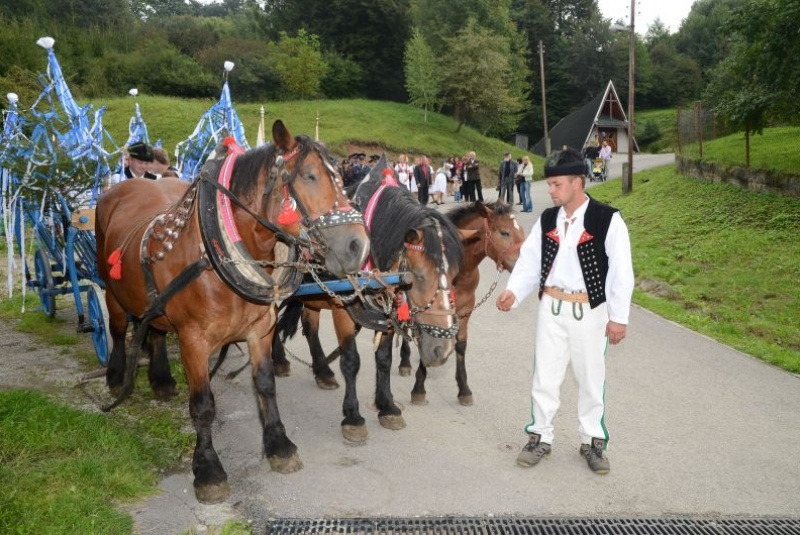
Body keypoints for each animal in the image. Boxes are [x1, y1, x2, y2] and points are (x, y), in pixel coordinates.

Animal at [96, 120, 368, 502]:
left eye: (342, 178)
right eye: (310, 176)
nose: (358, 246)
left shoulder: (260, 330)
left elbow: (265, 385)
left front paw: (279, 444)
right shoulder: (194, 340)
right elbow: (203, 405)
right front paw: (208, 469)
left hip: (157, 303)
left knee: (157, 330)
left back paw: (162, 380)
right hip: (112, 290)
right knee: (120, 330)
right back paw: (117, 376)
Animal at [272, 178, 466, 442]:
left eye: (455, 276)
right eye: (418, 276)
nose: (441, 350)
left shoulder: (387, 313)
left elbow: (383, 359)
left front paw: (387, 406)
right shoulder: (341, 308)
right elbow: (351, 361)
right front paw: (353, 416)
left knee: (310, 327)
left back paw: (323, 372)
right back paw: (280, 360)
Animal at [398, 201, 528, 406]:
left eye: (521, 230)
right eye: (504, 232)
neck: (460, 274)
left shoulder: (465, 310)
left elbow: (460, 344)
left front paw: (464, 390)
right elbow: (423, 338)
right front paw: (419, 389)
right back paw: (404, 363)